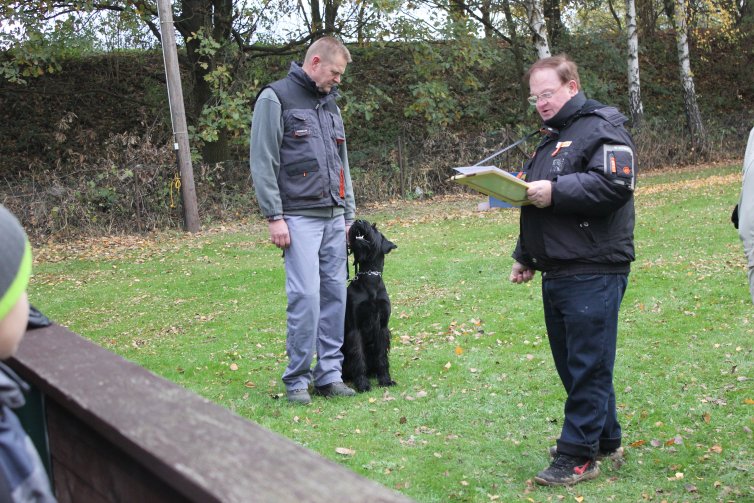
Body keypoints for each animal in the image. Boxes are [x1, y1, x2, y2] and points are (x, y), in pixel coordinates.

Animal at [342, 220, 396, 394]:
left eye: (374, 228)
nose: (359, 221)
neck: (370, 276)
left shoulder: (382, 327)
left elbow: (382, 357)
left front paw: (385, 380)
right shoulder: (355, 328)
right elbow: (358, 357)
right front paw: (363, 384)